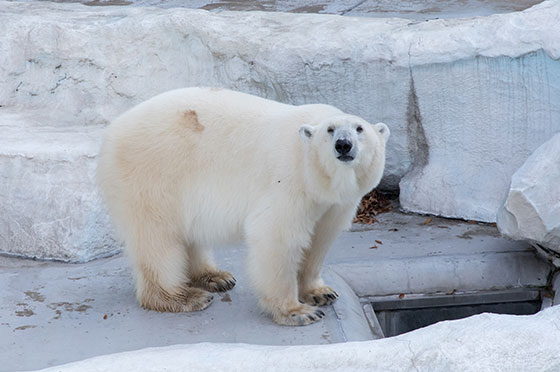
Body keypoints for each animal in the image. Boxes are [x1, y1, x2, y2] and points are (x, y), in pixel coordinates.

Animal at [97, 87, 390, 326]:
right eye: (330, 131)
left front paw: (320, 292)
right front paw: (297, 312)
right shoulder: (289, 182)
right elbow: (277, 237)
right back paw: (184, 297)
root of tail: (112, 132)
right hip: (152, 174)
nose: (343, 145)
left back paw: (215, 277)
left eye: (359, 129)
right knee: (157, 238)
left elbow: (320, 238)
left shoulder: (334, 204)